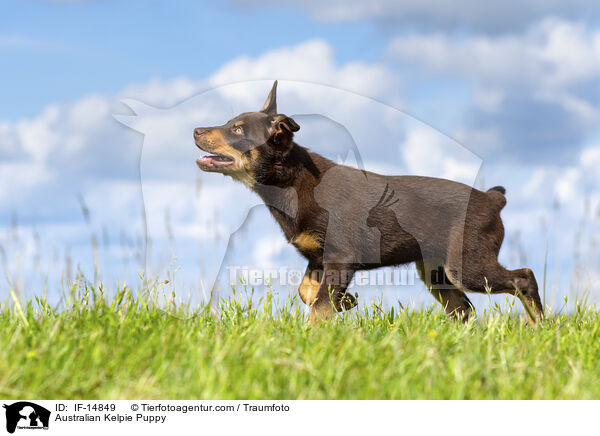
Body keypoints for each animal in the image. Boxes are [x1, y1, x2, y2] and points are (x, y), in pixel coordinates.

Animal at [193, 82, 544, 322]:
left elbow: (319, 307)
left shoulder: (340, 256)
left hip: (466, 264)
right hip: (435, 271)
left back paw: (539, 327)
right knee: (463, 308)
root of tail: (493, 199)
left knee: (523, 278)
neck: (291, 183)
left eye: (237, 129)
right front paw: (347, 301)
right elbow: (307, 293)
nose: (195, 130)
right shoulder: (317, 258)